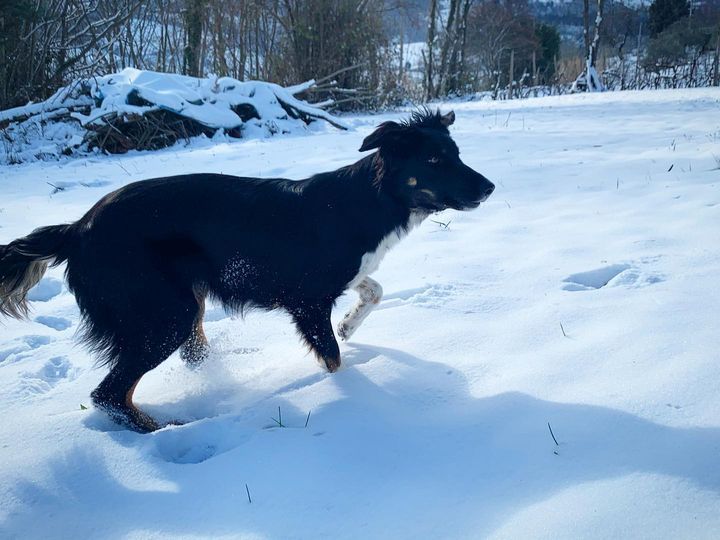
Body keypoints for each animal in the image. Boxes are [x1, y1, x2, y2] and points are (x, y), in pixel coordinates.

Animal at [0, 109, 494, 432]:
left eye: (456, 153)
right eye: (434, 160)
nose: (490, 187)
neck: (366, 202)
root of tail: (77, 227)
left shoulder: (340, 281)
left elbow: (374, 290)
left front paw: (350, 325)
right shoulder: (308, 300)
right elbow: (333, 357)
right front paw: (350, 391)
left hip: (184, 304)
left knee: (185, 358)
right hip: (163, 315)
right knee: (109, 394)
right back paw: (164, 430)